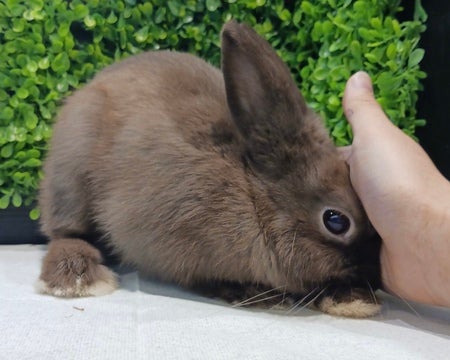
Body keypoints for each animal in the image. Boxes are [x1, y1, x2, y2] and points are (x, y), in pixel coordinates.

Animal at [37, 20, 380, 318]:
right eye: (336, 221)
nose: (375, 275)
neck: (253, 194)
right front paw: (255, 294)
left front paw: (353, 301)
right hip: (70, 174)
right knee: (66, 233)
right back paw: (78, 278)